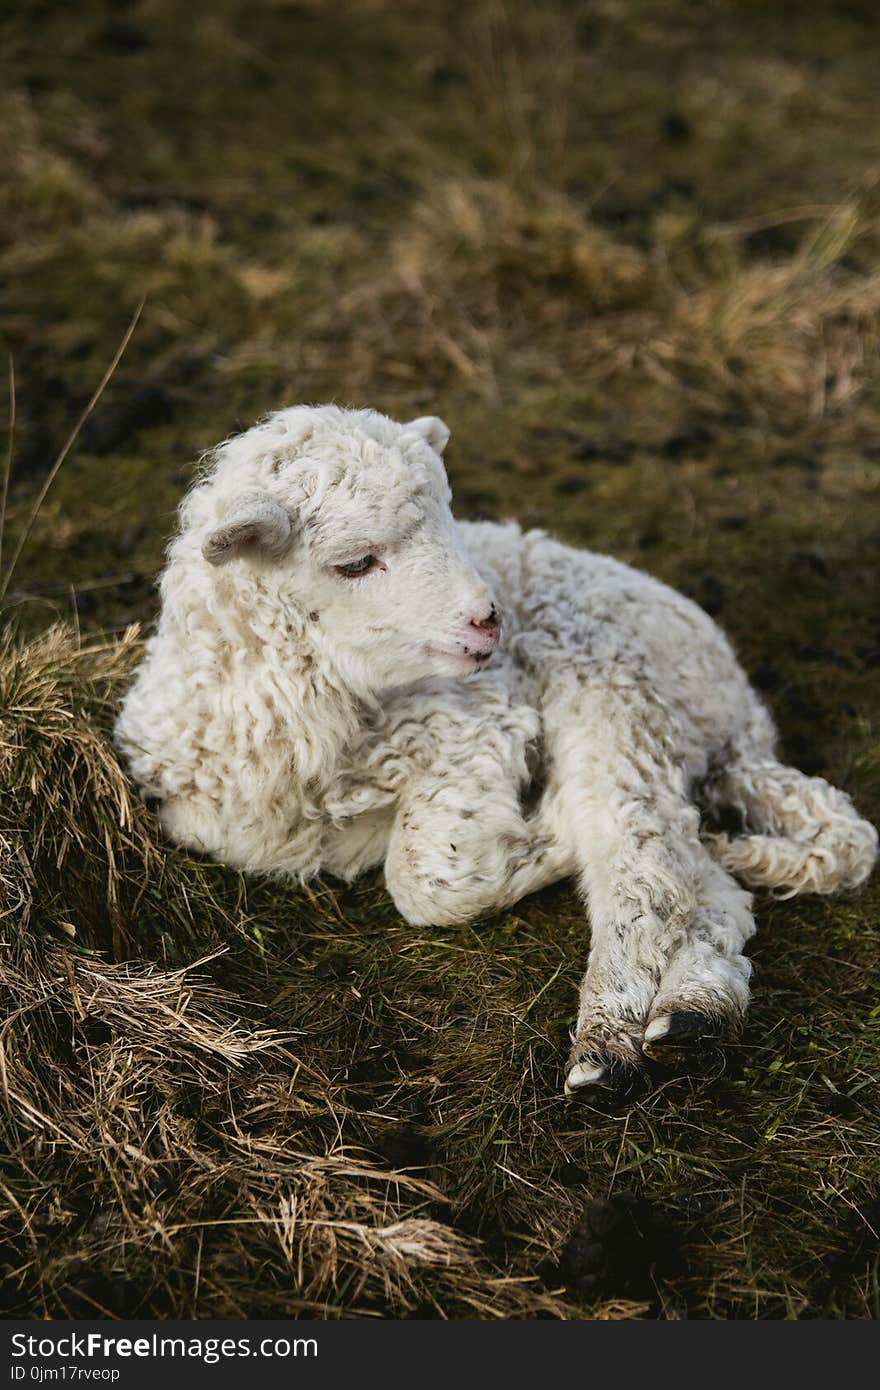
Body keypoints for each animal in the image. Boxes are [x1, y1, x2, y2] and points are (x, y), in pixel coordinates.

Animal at [113, 403, 873, 1095]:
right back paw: (695, 1014)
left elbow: (425, 879)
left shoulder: (478, 721)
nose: (488, 619)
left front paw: (547, 833)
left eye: (451, 521)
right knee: (704, 882)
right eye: (354, 563)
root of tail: (739, 716)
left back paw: (608, 1048)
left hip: (616, 685)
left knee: (640, 859)